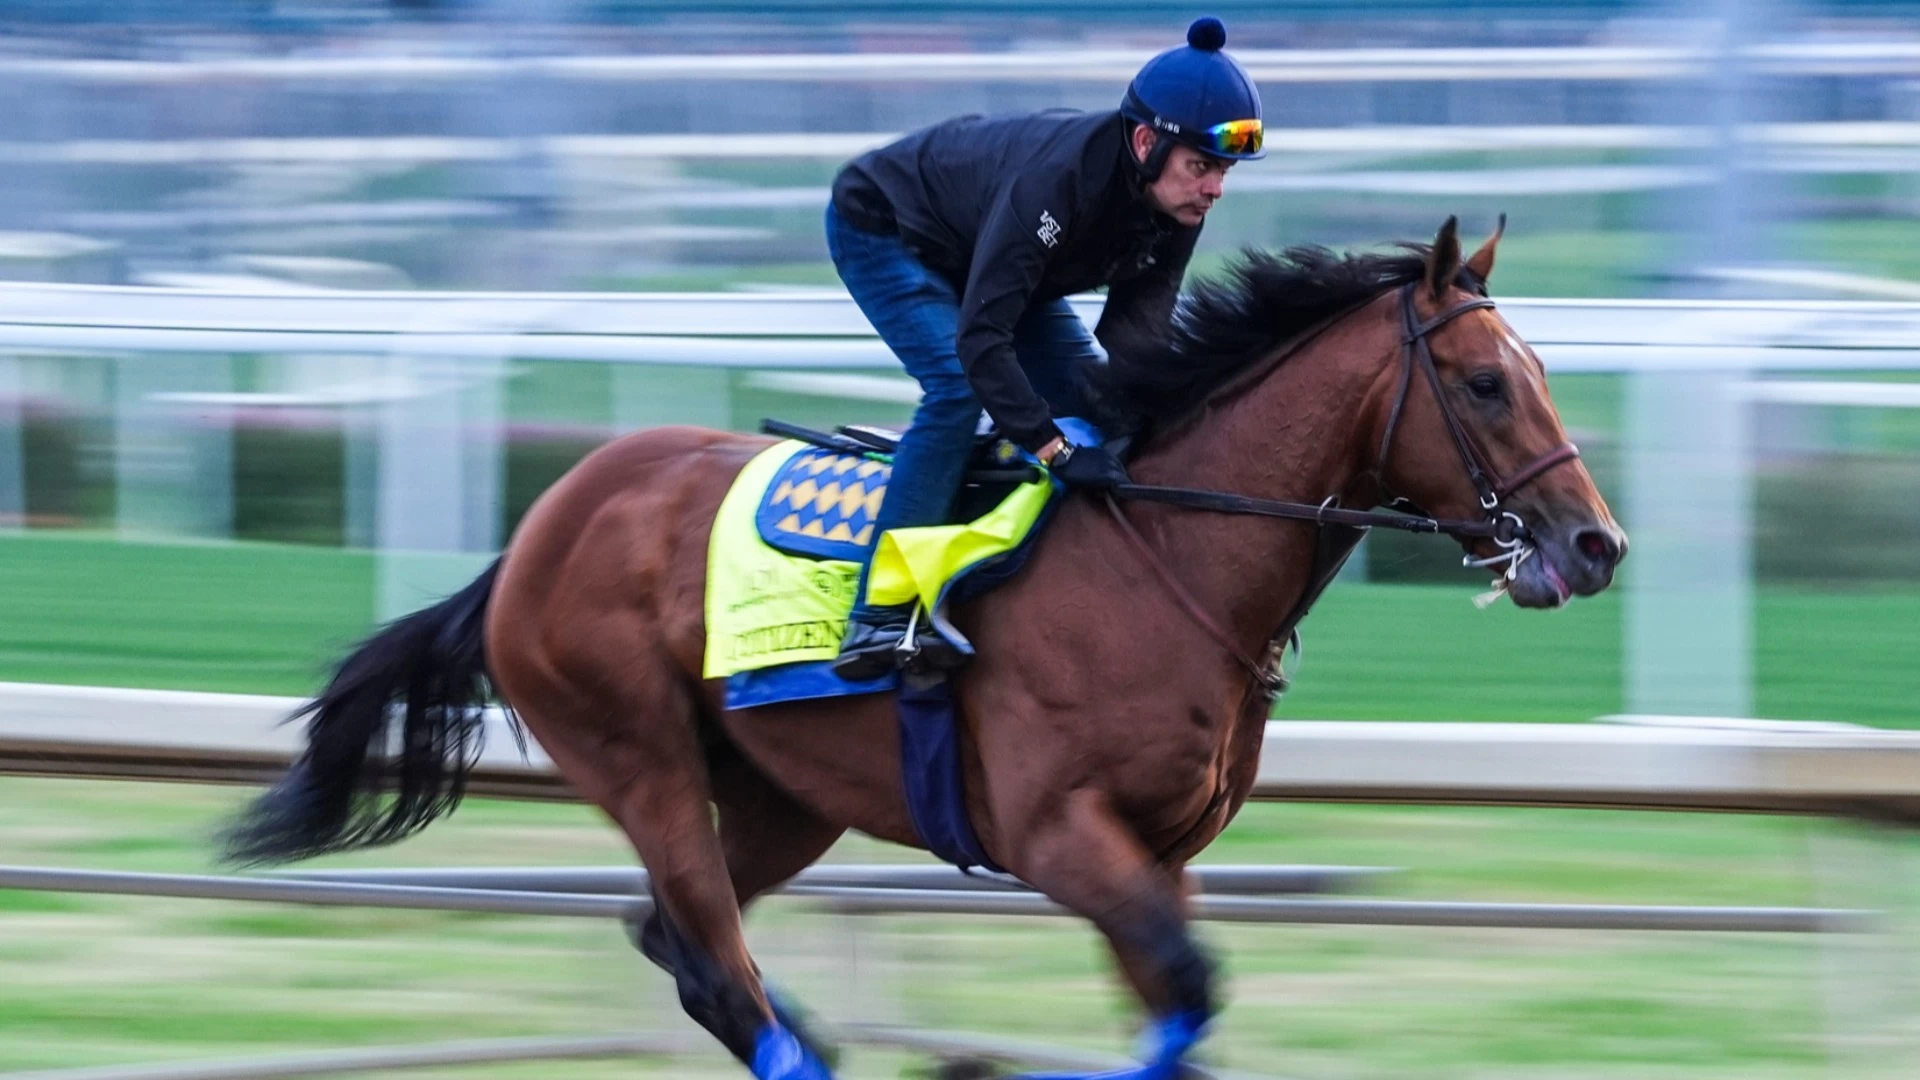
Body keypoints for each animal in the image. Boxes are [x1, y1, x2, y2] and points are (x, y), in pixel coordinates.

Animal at [222, 217, 1625, 1080]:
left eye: (1544, 372)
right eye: (1488, 384)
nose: (1595, 542)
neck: (1167, 556)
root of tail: (534, 536)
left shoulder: (1160, 853)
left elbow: (1178, 1002)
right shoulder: (1057, 835)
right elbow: (1189, 987)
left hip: (784, 798)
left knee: (675, 942)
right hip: (640, 758)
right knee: (712, 962)